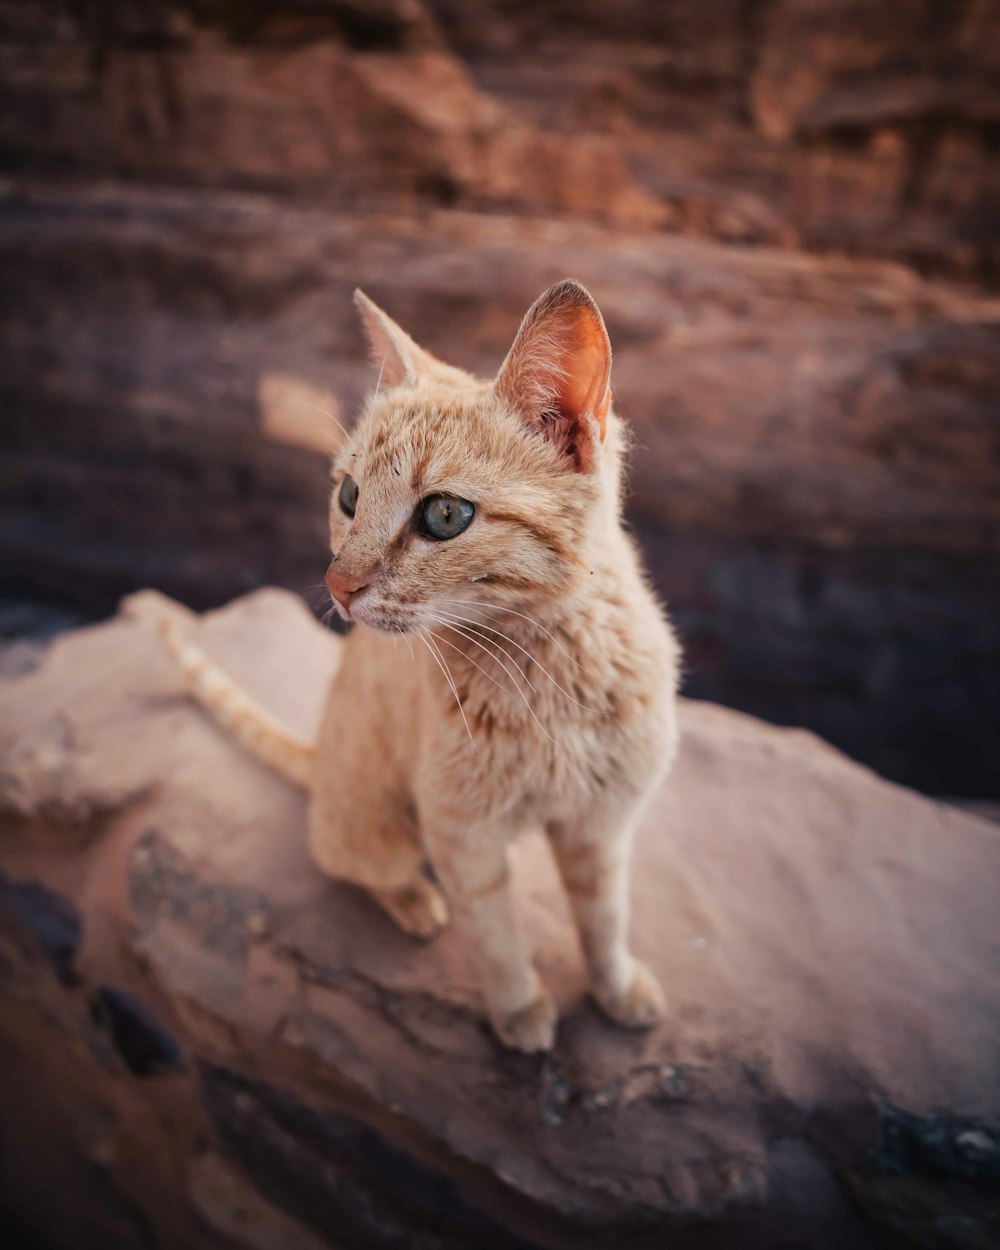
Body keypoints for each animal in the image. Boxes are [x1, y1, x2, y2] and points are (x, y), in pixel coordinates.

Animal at [160, 278, 685, 1050]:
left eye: (443, 516)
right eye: (348, 496)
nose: (338, 586)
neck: (546, 669)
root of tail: (318, 760)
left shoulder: (603, 823)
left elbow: (605, 918)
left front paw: (617, 989)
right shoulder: (461, 835)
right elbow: (496, 935)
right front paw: (519, 1011)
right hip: (382, 833)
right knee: (355, 864)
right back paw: (412, 900)